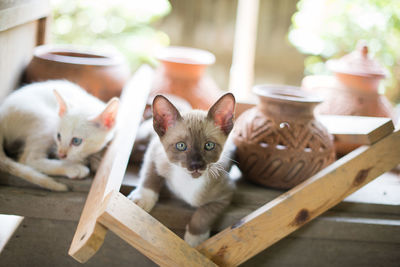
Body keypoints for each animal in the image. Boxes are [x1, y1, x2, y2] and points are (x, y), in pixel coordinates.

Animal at [128, 93, 236, 248]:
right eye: (181, 146)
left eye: (209, 145)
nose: (196, 165)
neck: (188, 180)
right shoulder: (154, 151)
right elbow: (150, 176)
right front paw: (142, 199)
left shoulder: (225, 195)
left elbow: (204, 214)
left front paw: (195, 240)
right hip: (141, 137)